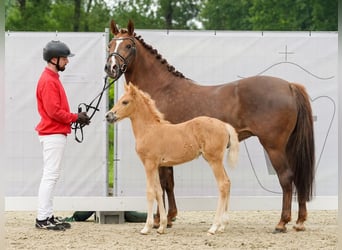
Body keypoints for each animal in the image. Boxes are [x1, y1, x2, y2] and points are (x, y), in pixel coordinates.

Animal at [105, 82, 239, 234]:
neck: (149, 130)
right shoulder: (156, 166)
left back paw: (214, 227)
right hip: (218, 161)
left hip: (214, 160)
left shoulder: (149, 164)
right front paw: (161, 226)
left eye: (125, 102)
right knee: (228, 182)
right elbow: (158, 191)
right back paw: (223, 225)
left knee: (223, 184)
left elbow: (150, 192)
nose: (108, 116)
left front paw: (146, 227)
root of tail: (224, 125)